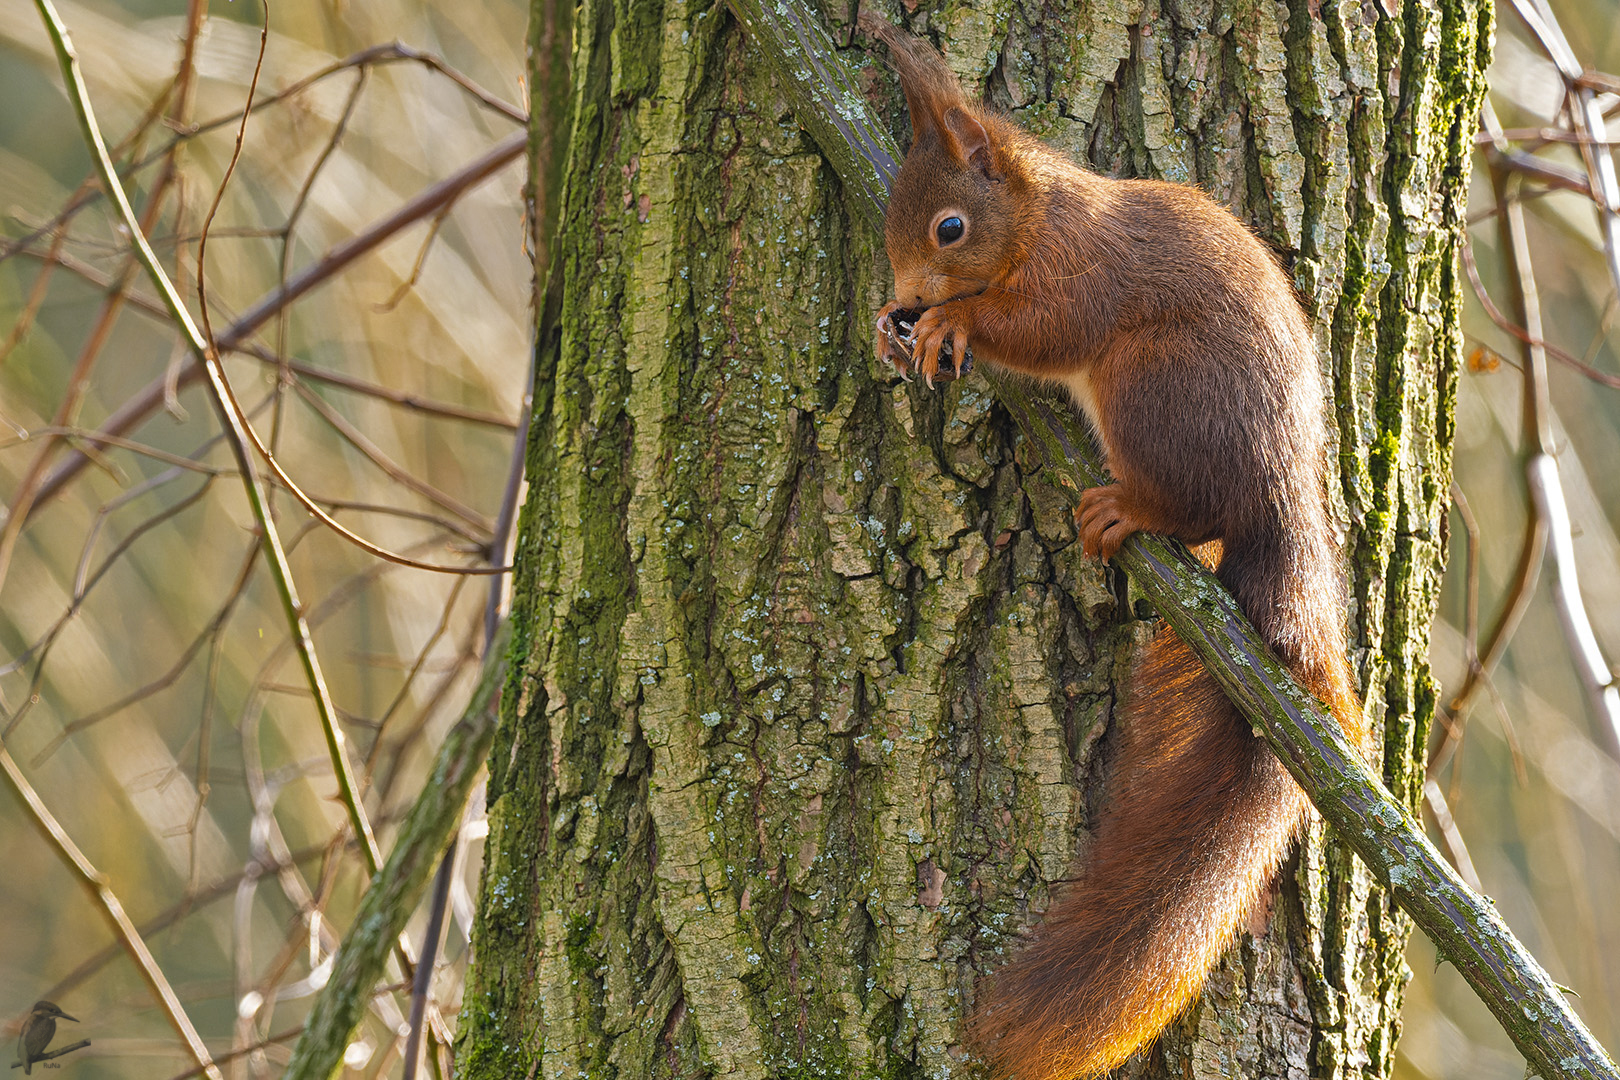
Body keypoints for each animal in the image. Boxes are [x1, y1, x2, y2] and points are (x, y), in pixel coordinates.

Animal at [868, 16, 1373, 1080]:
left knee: (1189, 506)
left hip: (1151, 384)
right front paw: (891, 325)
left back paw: (1129, 512)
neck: (1040, 219)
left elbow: (1040, 328)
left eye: (949, 229)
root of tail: (1282, 500)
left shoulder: (1081, 279)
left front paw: (950, 322)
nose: (906, 297)